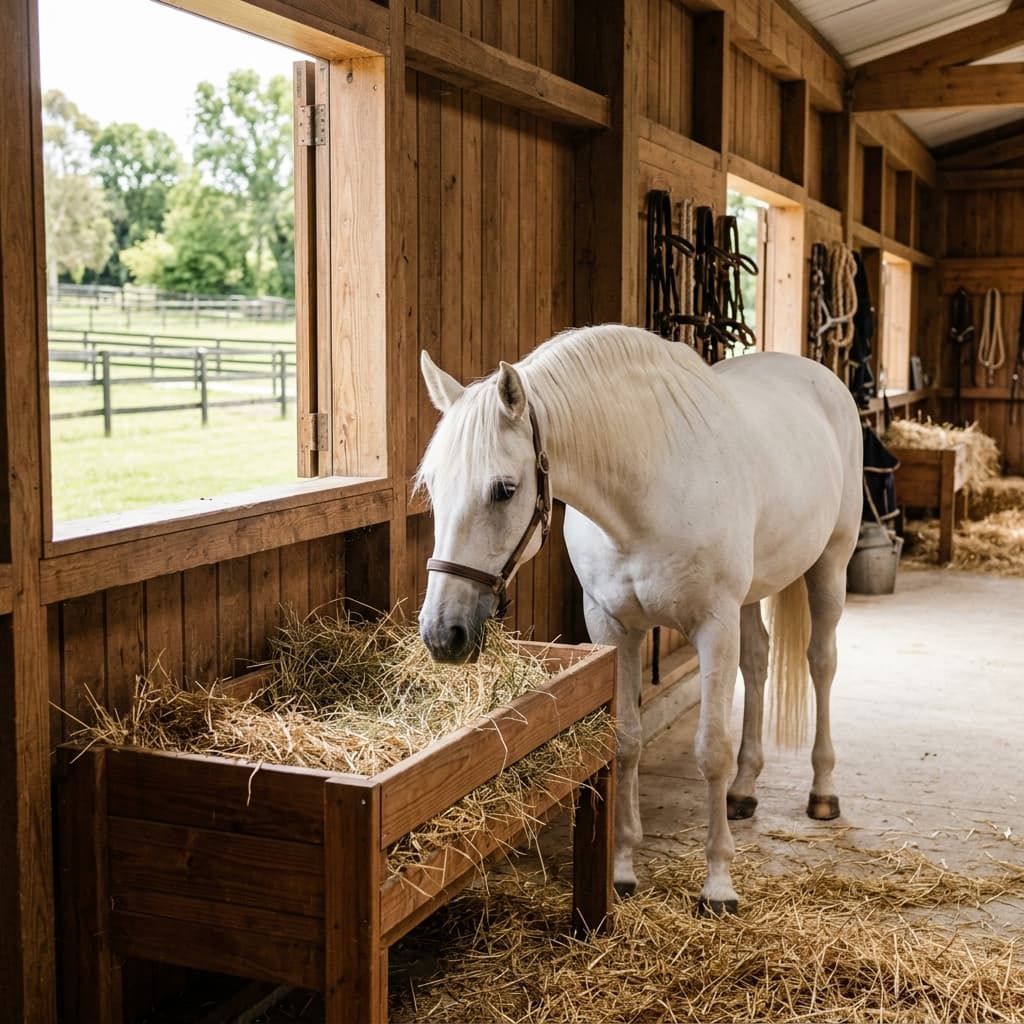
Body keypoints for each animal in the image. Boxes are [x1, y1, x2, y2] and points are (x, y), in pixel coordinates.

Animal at [415, 323, 863, 914]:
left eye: (504, 489)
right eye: (431, 486)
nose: (443, 635)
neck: (648, 488)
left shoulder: (712, 626)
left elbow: (710, 750)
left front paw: (718, 884)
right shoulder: (612, 626)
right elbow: (626, 741)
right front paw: (623, 869)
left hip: (830, 565)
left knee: (822, 664)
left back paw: (823, 792)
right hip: (750, 596)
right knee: (758, 662)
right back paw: (744, 791)